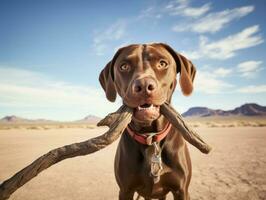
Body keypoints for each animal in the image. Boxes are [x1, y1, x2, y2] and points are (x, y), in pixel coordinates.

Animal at [98, 43, 196, 199]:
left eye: (162, 63)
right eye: (124, 66)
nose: (144, 86)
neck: (150, 136)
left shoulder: (181, 191)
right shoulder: (125, 190)